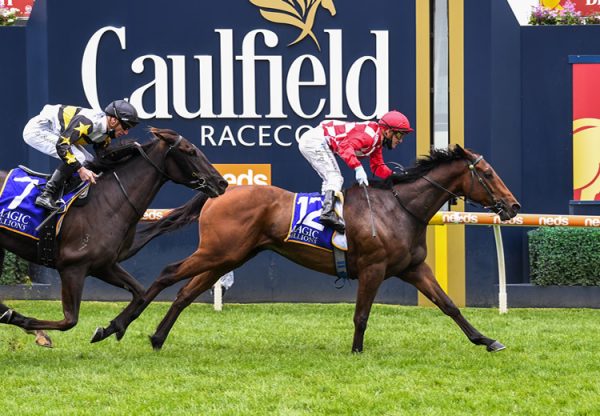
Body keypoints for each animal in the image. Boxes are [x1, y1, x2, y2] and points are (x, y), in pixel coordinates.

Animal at [0, 128, 227, 340]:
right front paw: (31, 328)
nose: (222, 182)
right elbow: (69, 321)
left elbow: (140, 293)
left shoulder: (104, 265)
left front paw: (110, 329)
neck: (109, 202)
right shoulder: (72, 267)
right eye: (190, 151)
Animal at [94, 145, 520, 352]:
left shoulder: (413, 268)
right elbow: (361, 315)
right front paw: (356, 352)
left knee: (185, 292)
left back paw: (156, 338)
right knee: (168, 275)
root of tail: (221, 191)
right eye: (487, 173)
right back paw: (114, 326)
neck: (399, 208)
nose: (513, 206)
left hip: (229, 255)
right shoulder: (374, 268)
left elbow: (449, 306)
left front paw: (487, 341)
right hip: (217, 252)